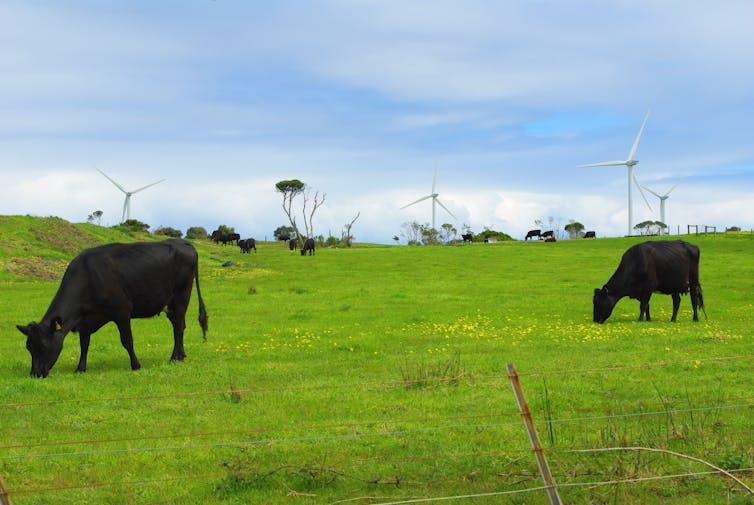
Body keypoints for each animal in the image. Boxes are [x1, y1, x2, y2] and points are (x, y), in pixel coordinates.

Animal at [15, 238, 209, 376]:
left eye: (42, 347)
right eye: (29, 347)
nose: (35, 374)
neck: (87, 276)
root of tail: (182, 242)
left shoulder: (122, 312)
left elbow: (127, 340)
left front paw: (136, 365)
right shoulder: (86, 320)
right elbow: (84, 344)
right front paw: (80, 368)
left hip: (181, 296)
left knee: (178, 327)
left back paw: (174, 357)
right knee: (180, 325)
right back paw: (181, 356)